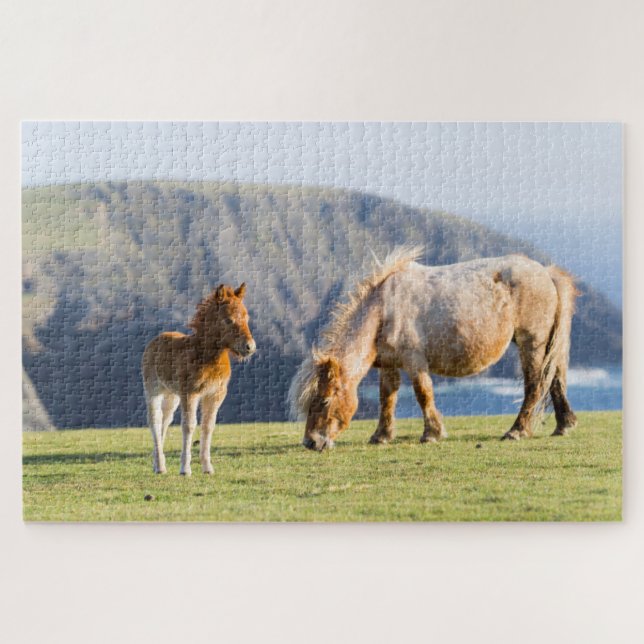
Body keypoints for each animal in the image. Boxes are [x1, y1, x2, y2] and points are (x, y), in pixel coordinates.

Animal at [142, 284, 256, 475]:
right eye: (228, 320)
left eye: (247, 317)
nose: (250, 347)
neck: (205, 356)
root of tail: (155, 341)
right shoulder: (190, 393)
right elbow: (189, 426)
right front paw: (185, 469)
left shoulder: (215, 394)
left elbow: (208, 426)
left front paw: (207, 467)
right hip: (153, 390)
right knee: (155, 420)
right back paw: (160, 466)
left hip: (172, 395)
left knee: (165, 420)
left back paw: (157, 464)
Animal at [289, 246, 578, 451]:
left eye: (324, 400)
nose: (311, 442)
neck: (384, 310)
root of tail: (546, 273)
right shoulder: (390, 364)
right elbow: (387, 397)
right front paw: (381, 436)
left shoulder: (415, 361)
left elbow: (423, 393)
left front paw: (432, 433)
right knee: (554, 378)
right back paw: (563, 425)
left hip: (532, 343)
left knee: (536, 384)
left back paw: (517, 430)